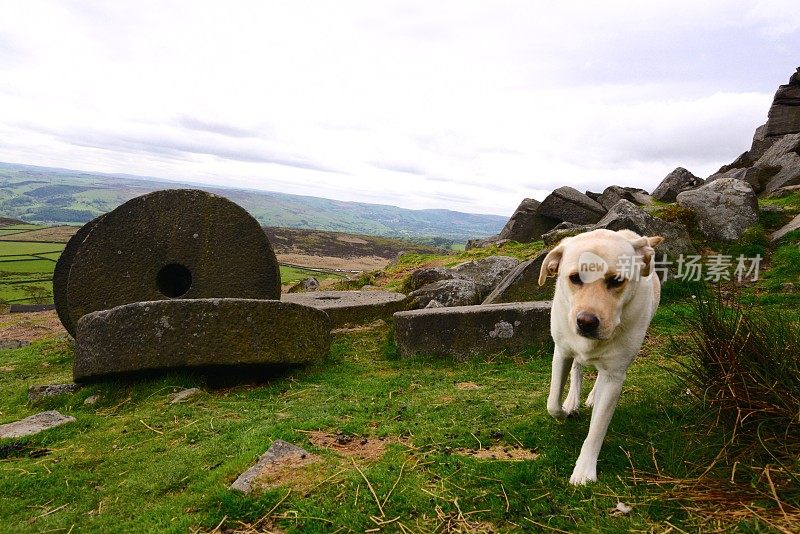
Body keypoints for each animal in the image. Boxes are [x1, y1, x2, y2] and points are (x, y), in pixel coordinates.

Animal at [540, 228, 664, 488]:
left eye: (616, 281)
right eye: (575, 278)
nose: (586, 322)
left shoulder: (615, 375)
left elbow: (597, 429)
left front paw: (584, 470)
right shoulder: (561, 351)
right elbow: (552, 404)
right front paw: (565, 410)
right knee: (578, 368)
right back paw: (573, 401)